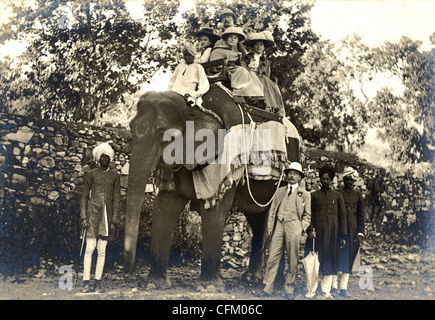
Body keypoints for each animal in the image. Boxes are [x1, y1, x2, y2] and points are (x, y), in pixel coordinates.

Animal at [122, 85, 300, 290]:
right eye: (131, 128)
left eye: (164, 134)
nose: (130, 270)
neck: (196, 107)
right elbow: (165, 208)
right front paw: (155, 284)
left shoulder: (224, 161)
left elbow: (214, 212)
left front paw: (209, 287)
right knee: (258, 221)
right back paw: (251, 278)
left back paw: (271, 282)